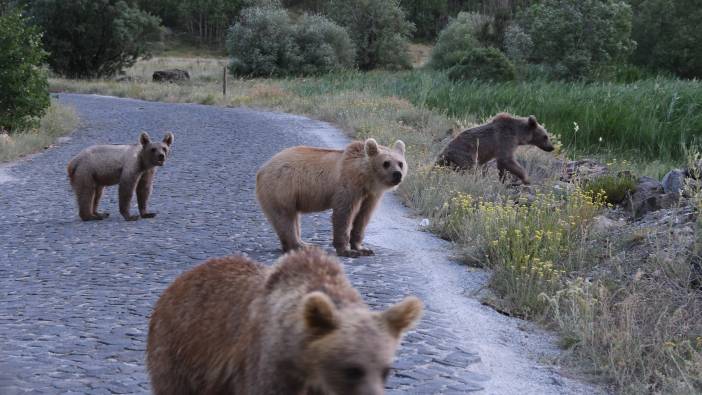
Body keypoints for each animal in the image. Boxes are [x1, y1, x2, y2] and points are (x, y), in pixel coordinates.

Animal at [256, 140, 408, 260]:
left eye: (400, 163)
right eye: (386, 163)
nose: (397, 174)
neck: (365, 178)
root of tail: (262, 168)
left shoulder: (370, 196)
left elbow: (363, 218)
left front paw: (363, 248)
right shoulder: (348, 187)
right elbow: (344, 214)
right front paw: (347, 250)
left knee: (292, 217)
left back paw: (302, 244)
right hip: (281, 188)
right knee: (285, 217)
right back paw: (299, 246)